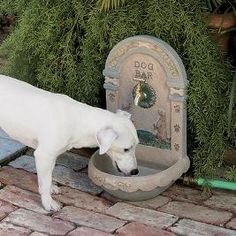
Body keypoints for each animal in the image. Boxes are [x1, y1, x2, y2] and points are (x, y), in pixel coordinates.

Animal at [0, 74, 139, 211]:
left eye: (136, 146)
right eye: (126, 149)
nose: (135, 172)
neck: (79, 121)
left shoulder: (51, 156)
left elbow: (48, 176)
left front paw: (51, 188)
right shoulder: (44, 155)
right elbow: (44, 182)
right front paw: (48, 203)